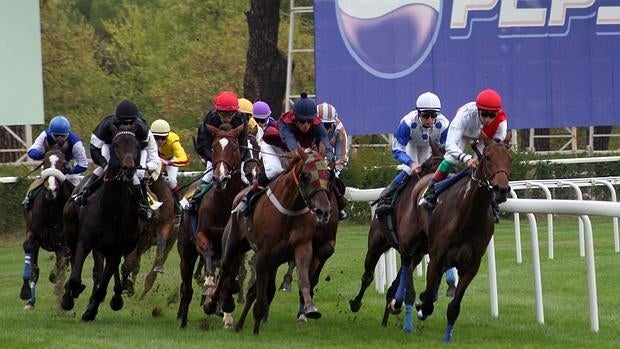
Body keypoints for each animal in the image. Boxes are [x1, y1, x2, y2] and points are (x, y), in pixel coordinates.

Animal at [20, 143, 75, 308]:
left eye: (64, 164)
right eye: (44, 162)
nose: (51, 190)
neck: (52, 209)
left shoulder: (63, 243)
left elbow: (61, 266)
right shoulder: (33, 234)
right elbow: (32, 260)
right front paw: (26, 294)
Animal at [60, 126, 142, 320]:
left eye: (136, 145)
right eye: (116, 144)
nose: (128, 168)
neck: (111, 208)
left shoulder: (117, 249)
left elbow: (104, 283)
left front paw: (91, 309)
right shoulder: (85, 241)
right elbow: (75, 277)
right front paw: (69, 296)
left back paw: (116, 297)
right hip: (72, 232)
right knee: (75, 260)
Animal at [174, 122, 249, 326]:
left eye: (234, 148)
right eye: (214, 147)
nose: (219, 178)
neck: (224, 201)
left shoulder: (236, 248)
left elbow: (230, 277)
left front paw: (227, 312)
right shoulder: (202, 234)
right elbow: (207, 251)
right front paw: (208, 285)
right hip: (186, 251)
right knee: (186, 288)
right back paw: (183, 317)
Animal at [206, 145, 334, 334]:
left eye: (328, 174)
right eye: (305, 176)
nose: (323, 211)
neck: (290, 210)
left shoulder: (302, 246)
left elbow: (303, 278)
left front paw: (310, 308)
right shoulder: (263, 254)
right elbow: (259, 294)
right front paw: (256, 326)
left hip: (273, 261)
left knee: (253, 289)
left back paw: (239, 325)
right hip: (233, 243)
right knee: (225, 270)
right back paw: (213, 306)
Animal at [412, 135, 512, 342]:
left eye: (510, 159)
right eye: (487, 157)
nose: (501, 189)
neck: (468, 218)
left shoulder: (471, 265)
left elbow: (454, 306)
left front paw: (448, 335)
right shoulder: (437, 258)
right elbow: (428, 303)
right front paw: (421, 307)